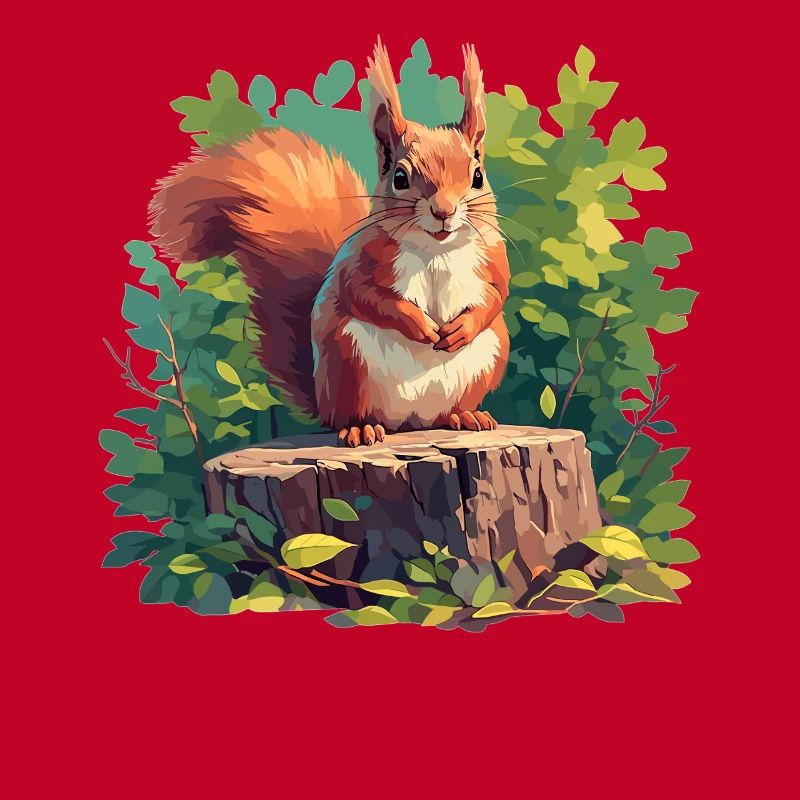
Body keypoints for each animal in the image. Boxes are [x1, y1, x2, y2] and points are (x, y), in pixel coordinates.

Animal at [150, 39, 510, 447]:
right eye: (400, 177)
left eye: (477, 176)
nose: (444, 211)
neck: (435, 250)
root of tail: (411, 423)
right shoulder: (360, 259)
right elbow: (363, 294)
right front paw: (417, 324)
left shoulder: (492, 257)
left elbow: (497, 294)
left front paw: (462, 327)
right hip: (348, 363)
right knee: (351, 413)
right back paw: (361, 427)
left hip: (486, 359)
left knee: (452, 406)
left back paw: (466, 415)